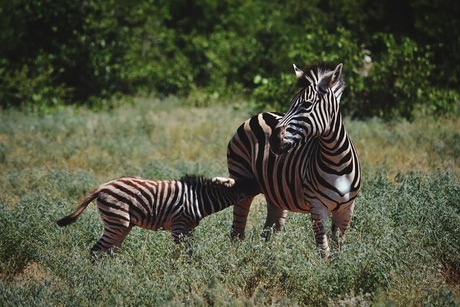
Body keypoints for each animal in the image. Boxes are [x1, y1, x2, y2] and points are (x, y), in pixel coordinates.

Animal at [56, 174, 255, 258]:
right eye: (247, 183)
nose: (259, 181)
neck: (199, 200)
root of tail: (103, 186)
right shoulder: (178, 225)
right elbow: (178, 252)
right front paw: (177, 271)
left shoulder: (189, 229)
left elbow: (189, 251)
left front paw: (191, 267)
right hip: (117, 221)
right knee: (96, 250)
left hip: (123, 225)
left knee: (110, 251)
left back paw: (115, 274)